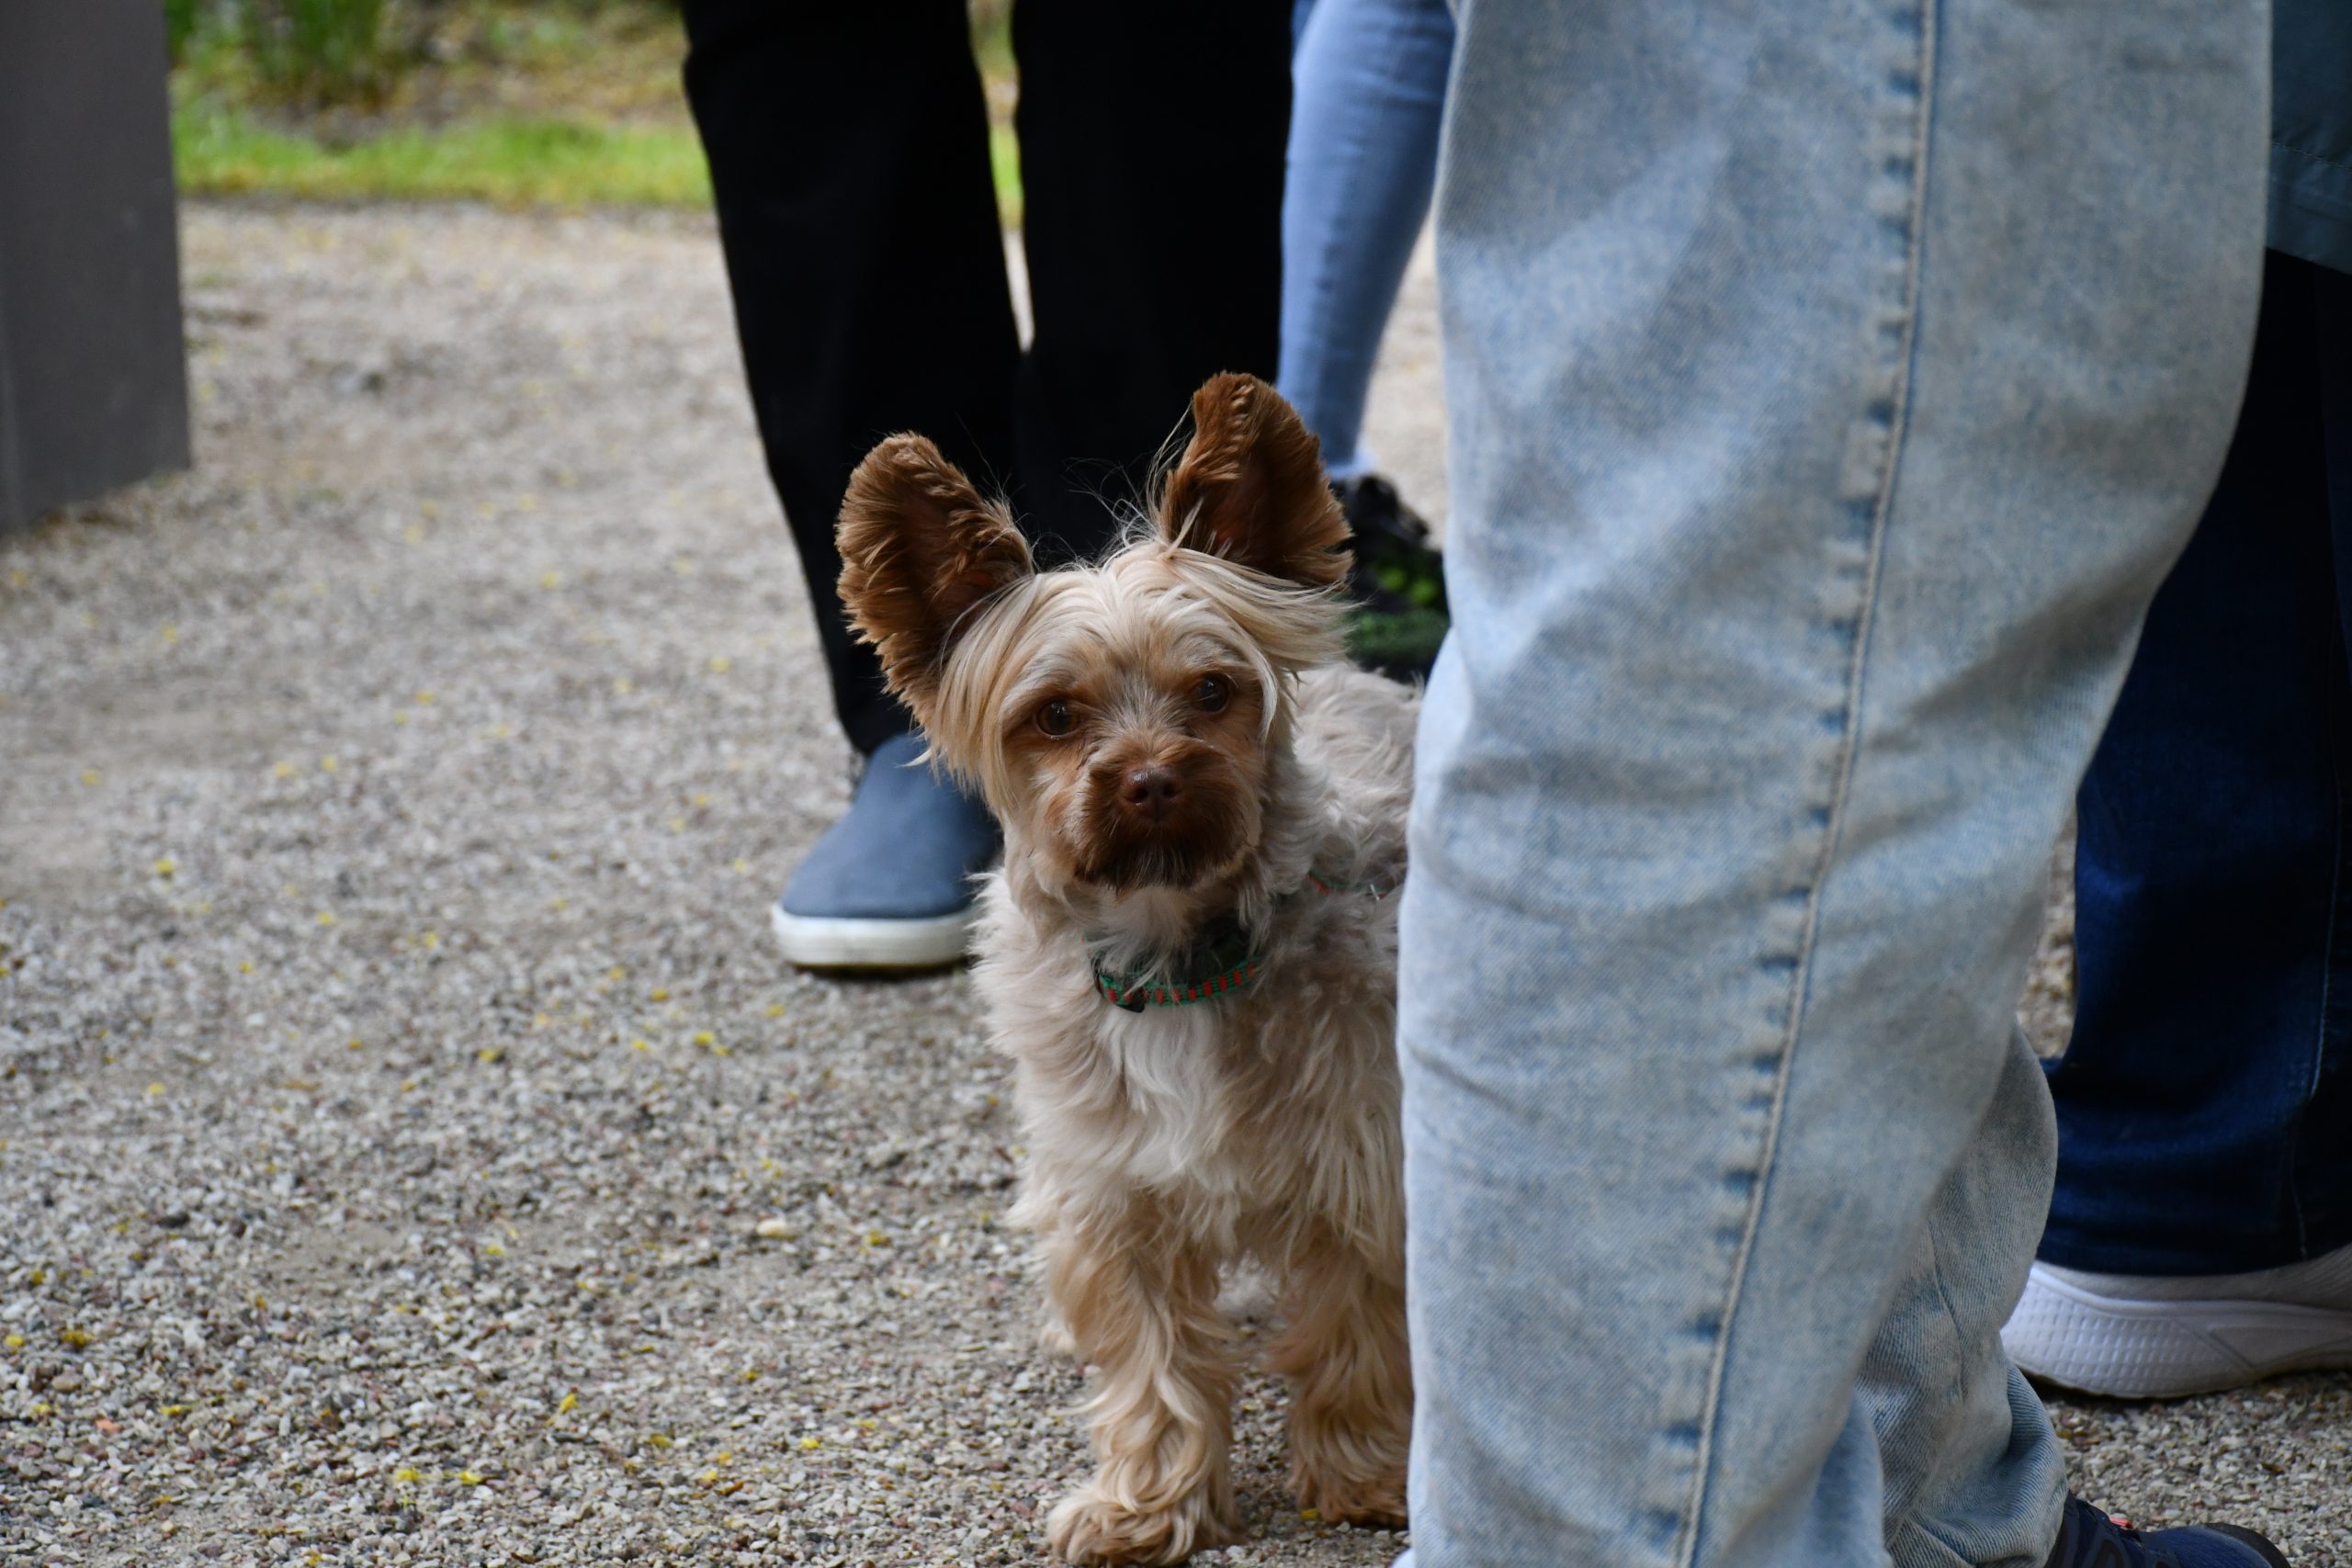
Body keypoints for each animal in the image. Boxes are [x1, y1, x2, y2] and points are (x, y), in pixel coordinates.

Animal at [835, 373, 1415, 1565]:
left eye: (1212, 692)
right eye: (1054, 715)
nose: (1150, 780)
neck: (1176, 957)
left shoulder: (1361, 1160)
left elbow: (1357, 1327)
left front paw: (1363, 1475)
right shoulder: (1114, 1196)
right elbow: (1151, 1363)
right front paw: (1149, 1504)